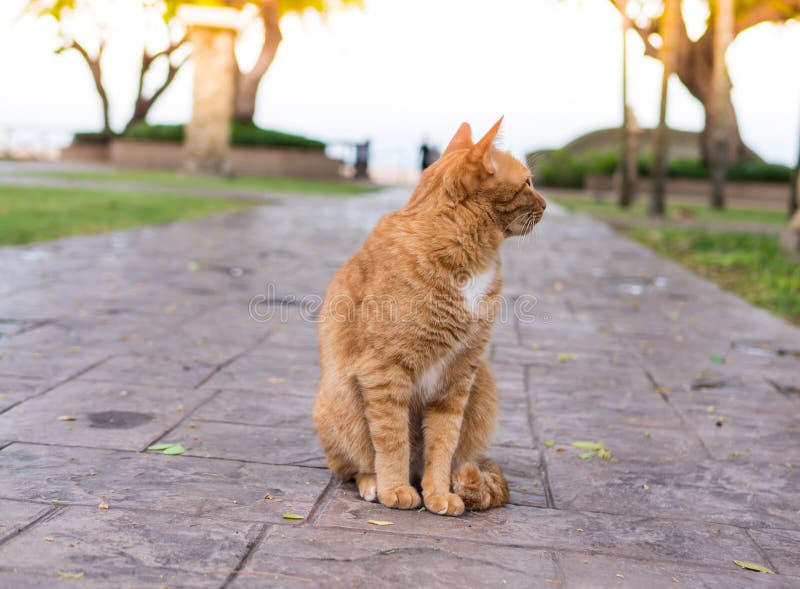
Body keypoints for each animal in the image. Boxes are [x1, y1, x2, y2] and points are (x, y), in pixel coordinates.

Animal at [310, 118, 544, 516]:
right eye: (527, 182)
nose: (546, 204)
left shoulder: (459, 375)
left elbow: (443, 442)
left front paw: (437, 492)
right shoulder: (384, 370)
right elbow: (392, 439)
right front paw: (394, 488)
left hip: (484, 385)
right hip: (338, 400)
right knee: (354, 466)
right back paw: (374, 484)